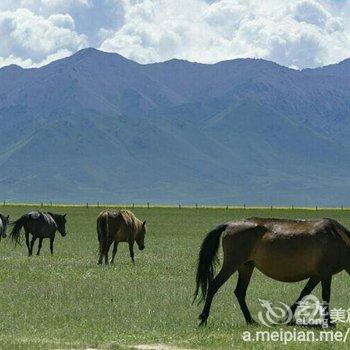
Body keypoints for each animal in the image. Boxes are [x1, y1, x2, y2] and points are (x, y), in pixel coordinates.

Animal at [194, 217, 350, 326]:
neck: (338, 238)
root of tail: (229, 224)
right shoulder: (325, 273)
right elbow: (326, 295)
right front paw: (329, 321)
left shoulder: (317, 275)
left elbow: (304, 293)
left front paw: (286, 317)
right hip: (231, 265)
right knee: (214, 285)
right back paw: (203, 319)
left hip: (246, 267)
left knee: (240, 292)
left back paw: (251, 321)